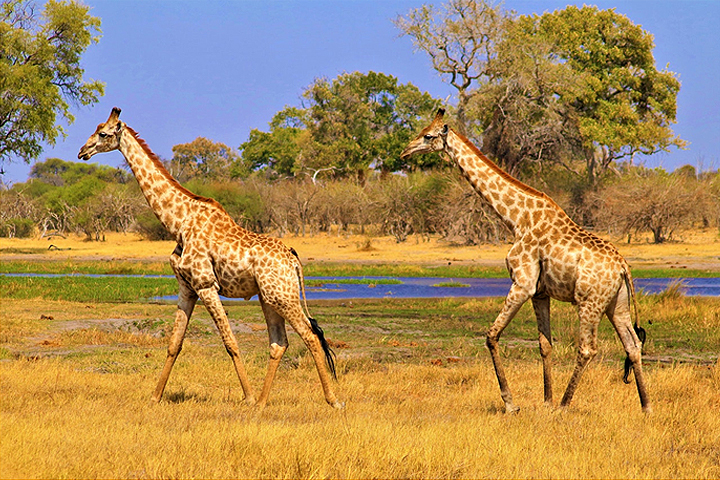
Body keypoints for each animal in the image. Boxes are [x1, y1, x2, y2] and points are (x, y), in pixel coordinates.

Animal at [77, 109, 342, 408]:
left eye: (103, 133)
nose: (82, 151)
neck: (178, 222)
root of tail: (294, 260)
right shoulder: (186, 287)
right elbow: (174, 343)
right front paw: (155, 397)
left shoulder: (206, 285)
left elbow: (230, 343)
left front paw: (247, 397)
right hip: (269, 297)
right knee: (279, 342)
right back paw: (263, 402)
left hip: (283, 297)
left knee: (310, 336)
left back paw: (331, 400)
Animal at [402, 109, 648, 412]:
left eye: (427, 136)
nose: (404, 151)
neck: (516, 219)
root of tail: (624, 268)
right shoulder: (540, 292)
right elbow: (545, 345)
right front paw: (545, 400)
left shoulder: (522, 284)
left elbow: (492, 335)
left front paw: (511, 403)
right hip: (617, 303)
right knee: (632, 345)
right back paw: (646, 407)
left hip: (590, 302)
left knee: (588, 348)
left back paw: (564, 405)